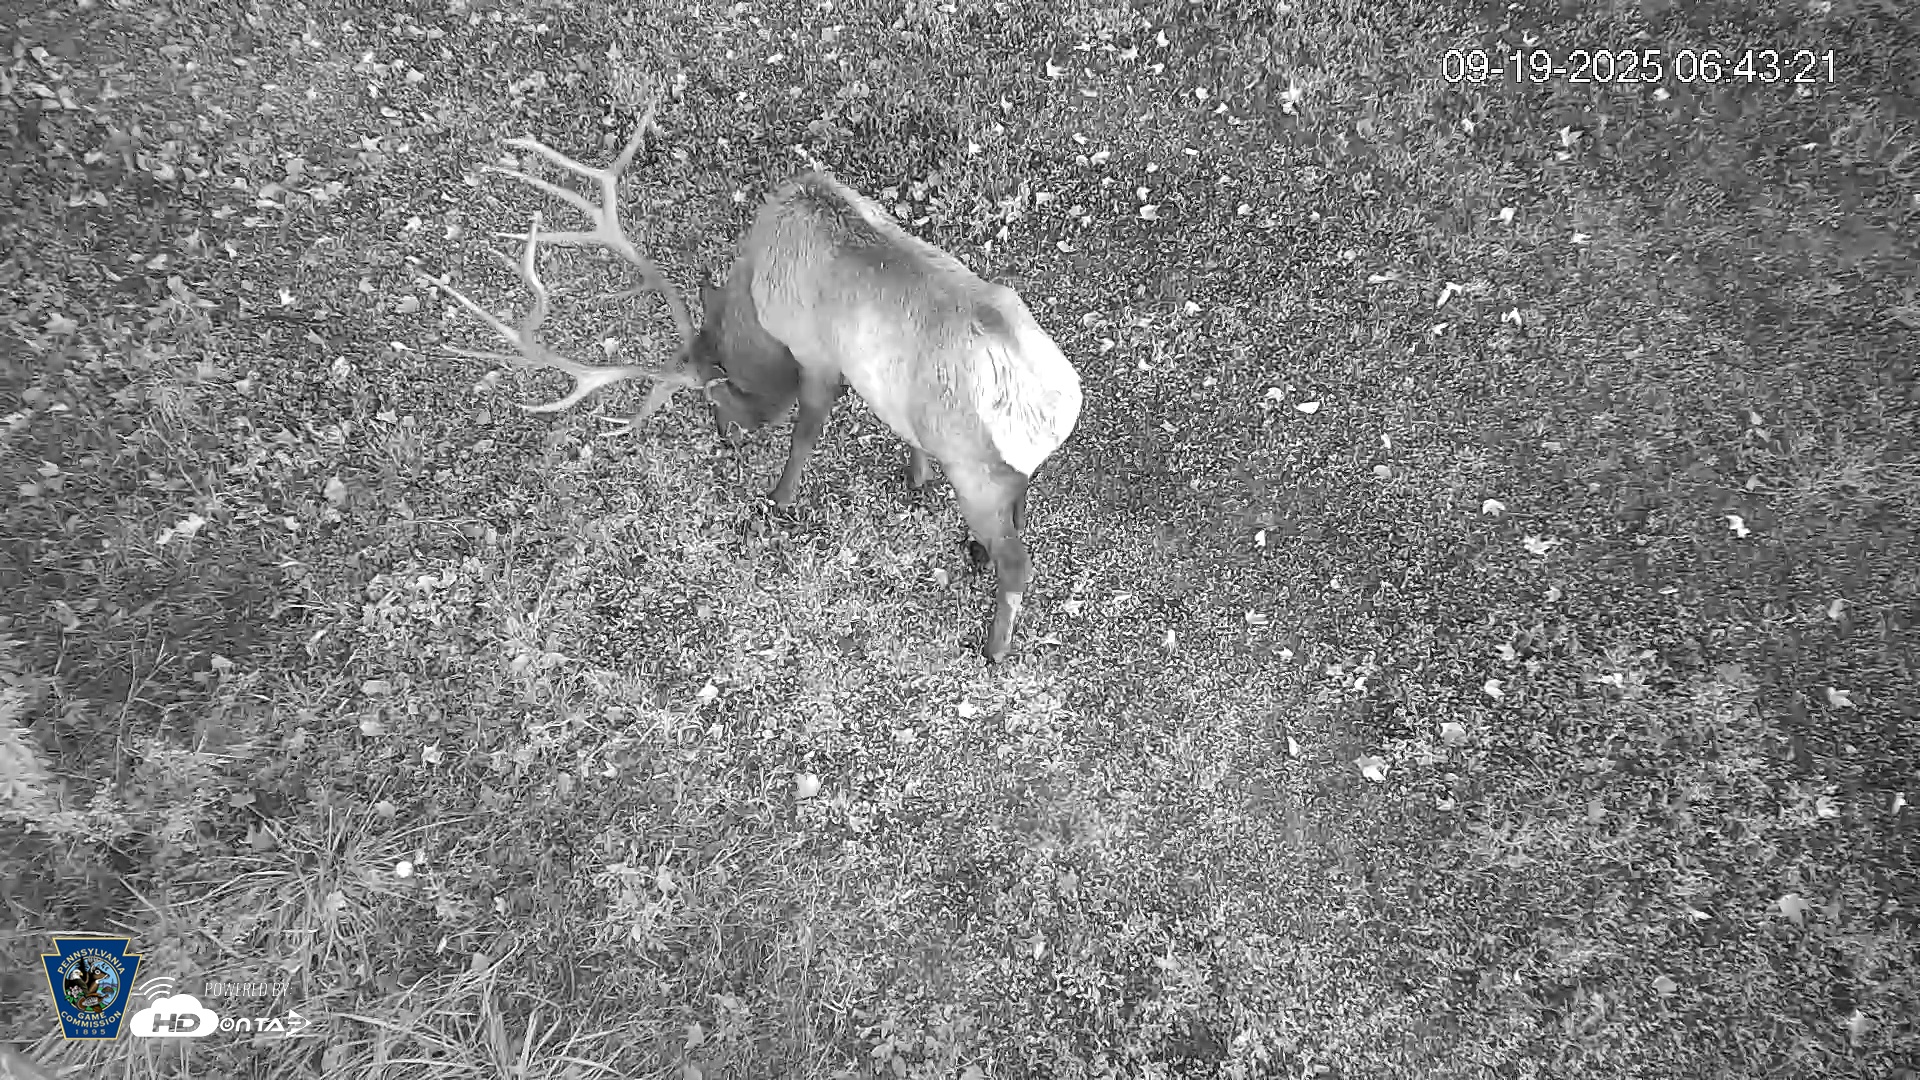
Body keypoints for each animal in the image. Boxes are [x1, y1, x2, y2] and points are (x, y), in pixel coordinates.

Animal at [414, 115, 1082, 663]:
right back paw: (976, 553)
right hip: (1001, 469)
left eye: (715, 395)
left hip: (973, 470)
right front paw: (912, 476)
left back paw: (995, 645)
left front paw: (777, 500)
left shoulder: (815, 355)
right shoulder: (880, 386)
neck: (758, 291)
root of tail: (1055, 411)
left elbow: (806, 431)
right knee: (1021, 503)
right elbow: (899, 431)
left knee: (1020, 564)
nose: (726, 437)